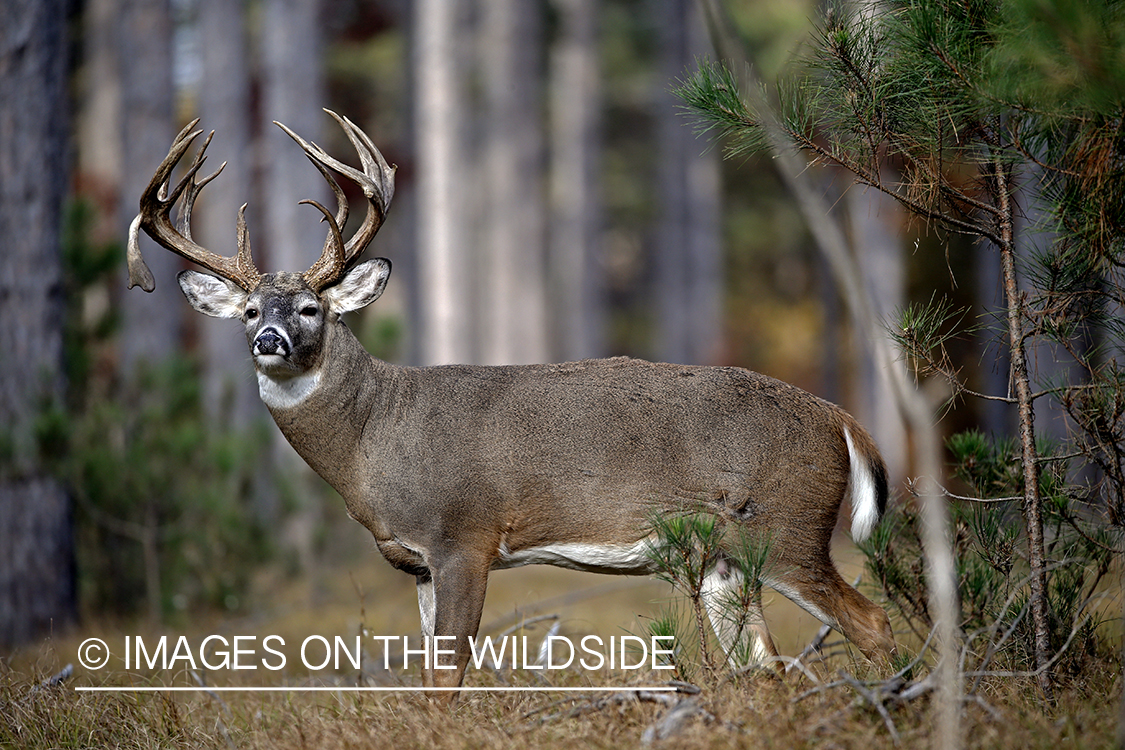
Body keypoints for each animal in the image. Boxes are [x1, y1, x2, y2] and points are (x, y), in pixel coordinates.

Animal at [125, 108, 895, 697]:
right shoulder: (417, 562)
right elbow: (429, 673)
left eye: (313, 308)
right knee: (764, 664)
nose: (271, 340)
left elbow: (448, 677)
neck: (374, 437)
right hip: (724, 561)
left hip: (787, 527)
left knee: (869, 621)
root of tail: (842, 420)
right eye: (252, 310)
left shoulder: (464, 535)